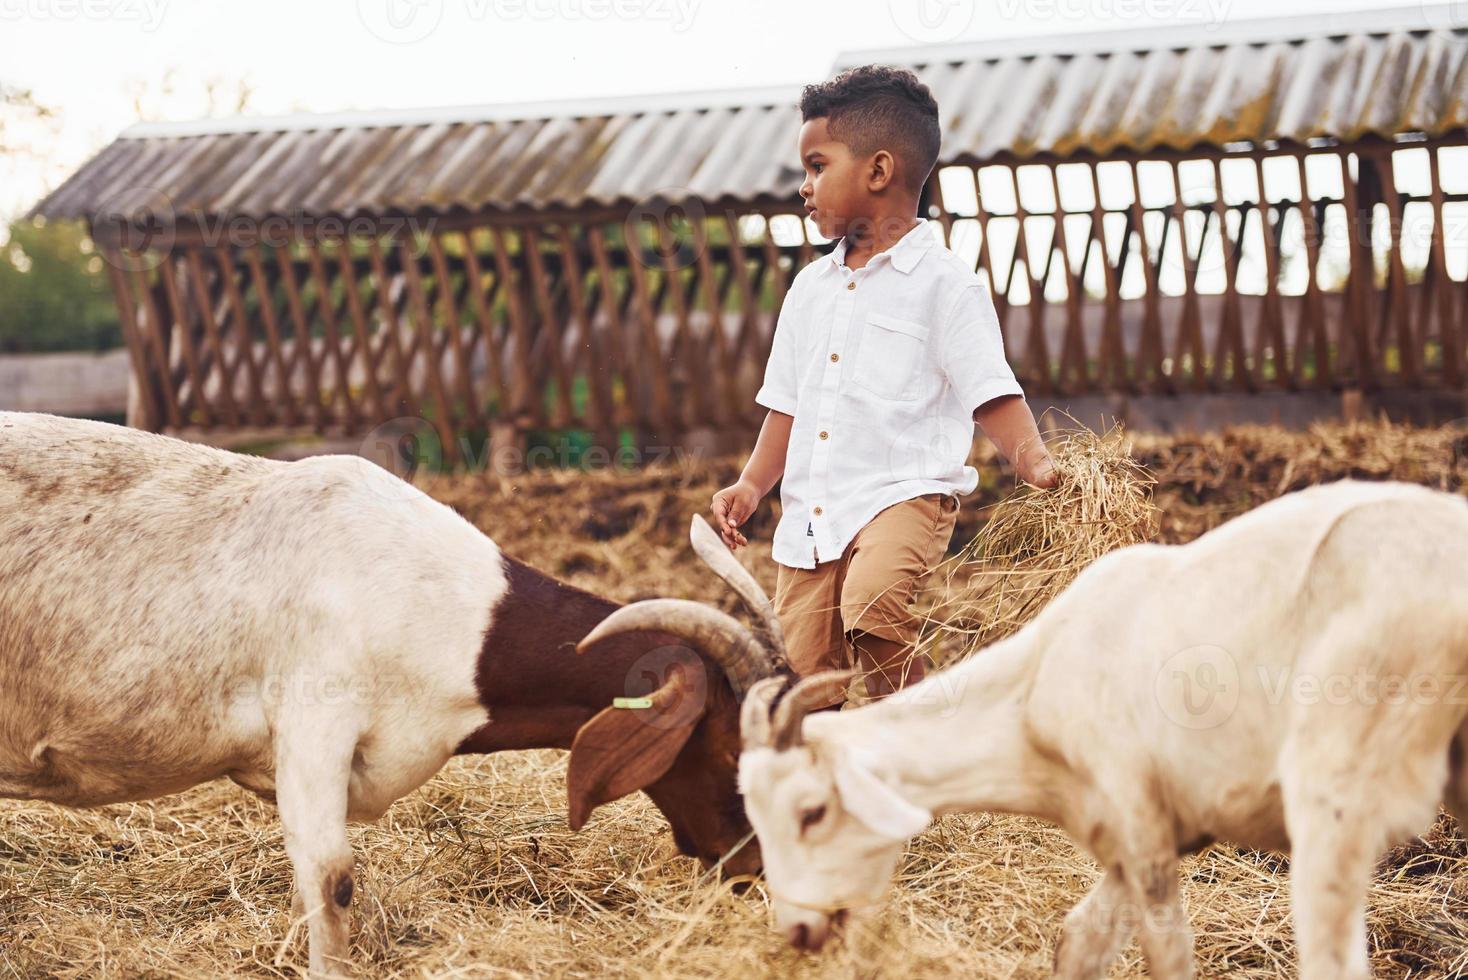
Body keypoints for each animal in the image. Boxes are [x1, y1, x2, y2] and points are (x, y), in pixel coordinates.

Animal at [728, 478, 1468, 974]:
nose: (797, 929)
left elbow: (1168, 953)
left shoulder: (1141, 828)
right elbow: (1077, 941)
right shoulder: (1134, 836)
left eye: (812, 811)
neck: (1035, 688)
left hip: (1335, 795)